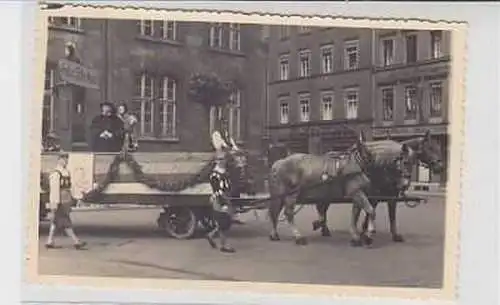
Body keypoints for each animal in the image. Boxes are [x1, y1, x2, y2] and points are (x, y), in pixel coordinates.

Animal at [268, 134, 412, 246]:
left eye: (412, 162)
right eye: (404, 162)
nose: (405, 185)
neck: (362, 162)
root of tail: (278, 163)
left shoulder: (359, 194)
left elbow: (356, 214)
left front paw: (356, 237)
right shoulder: (357, 192)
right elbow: (370, 211)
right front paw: (368, 235)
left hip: (281, 196)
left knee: (275, 213)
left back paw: (275, 234)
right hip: (291, 194)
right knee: (288, 213)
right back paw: (298, 237)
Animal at [312, 130, 446, 242]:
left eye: (438, 147)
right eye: (430, 148)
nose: (440, 167)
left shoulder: (391, 197)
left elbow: (391, 216)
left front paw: (394, 235)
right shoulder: (373, 195)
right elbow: (370, 211)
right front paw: (365, 232)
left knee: (322, 208)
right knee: (322, 207)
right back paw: (323, 228)